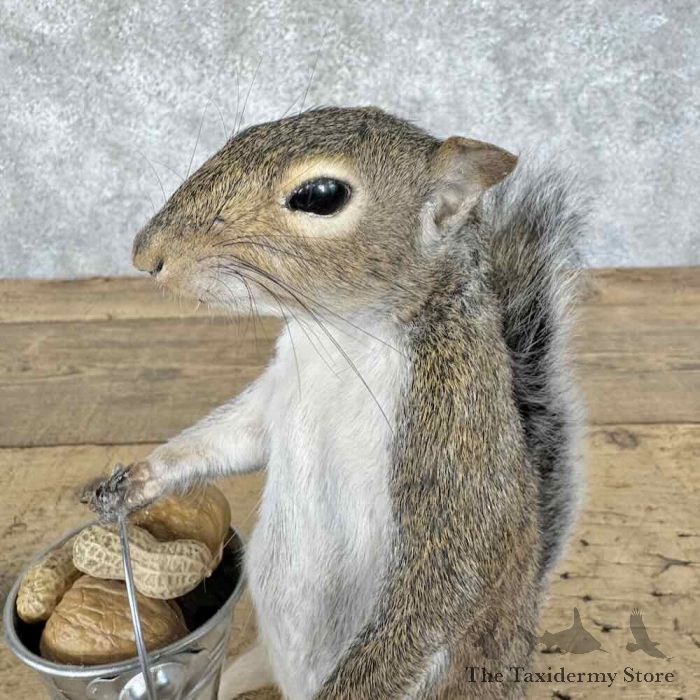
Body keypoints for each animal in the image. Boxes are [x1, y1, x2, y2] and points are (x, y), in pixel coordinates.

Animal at [90, 106, 584, 699]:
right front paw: (135, 480)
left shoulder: (456, 429)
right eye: (239, 136)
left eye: (321, 196)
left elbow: (445, 575)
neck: (342, 335)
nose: (146, 254)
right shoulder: (278, 389)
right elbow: (231, 439)